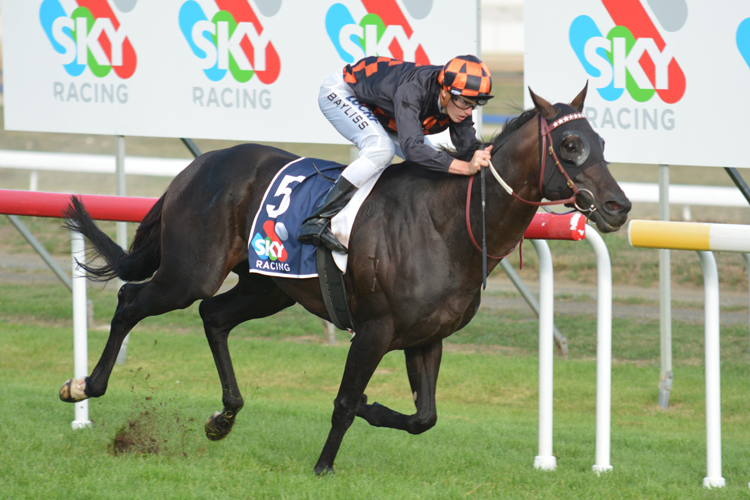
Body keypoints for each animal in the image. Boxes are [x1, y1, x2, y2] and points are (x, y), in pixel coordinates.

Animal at [60, 86, 636, 472]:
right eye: (570, 145)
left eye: (601, 140)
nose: (619, 206)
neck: (449, 224)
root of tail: (198, 168)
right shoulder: (375, 329)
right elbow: (341, 403)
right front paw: (323, 465)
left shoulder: (426, 338)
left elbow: (423, 417)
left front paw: (370, 406)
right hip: (190, 272)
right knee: (133, 300)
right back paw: (84, 385)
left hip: (268, 286)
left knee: (214, 316)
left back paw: (224, 416)